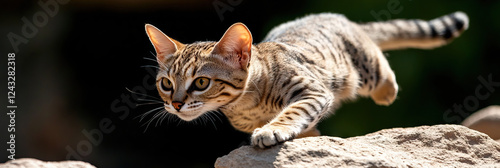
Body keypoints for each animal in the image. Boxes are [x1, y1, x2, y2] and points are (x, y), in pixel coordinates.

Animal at [144, 11, 468, 148]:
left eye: (201, 83)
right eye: (166, 84)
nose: (175, 104)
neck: (249, 104)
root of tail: (344, 19)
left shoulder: (312, 91)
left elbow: (292, 113)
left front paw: (271, 130)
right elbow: (308, 127)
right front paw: (309, 135)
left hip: (364, 70)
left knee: (381, 67)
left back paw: (386, 91)